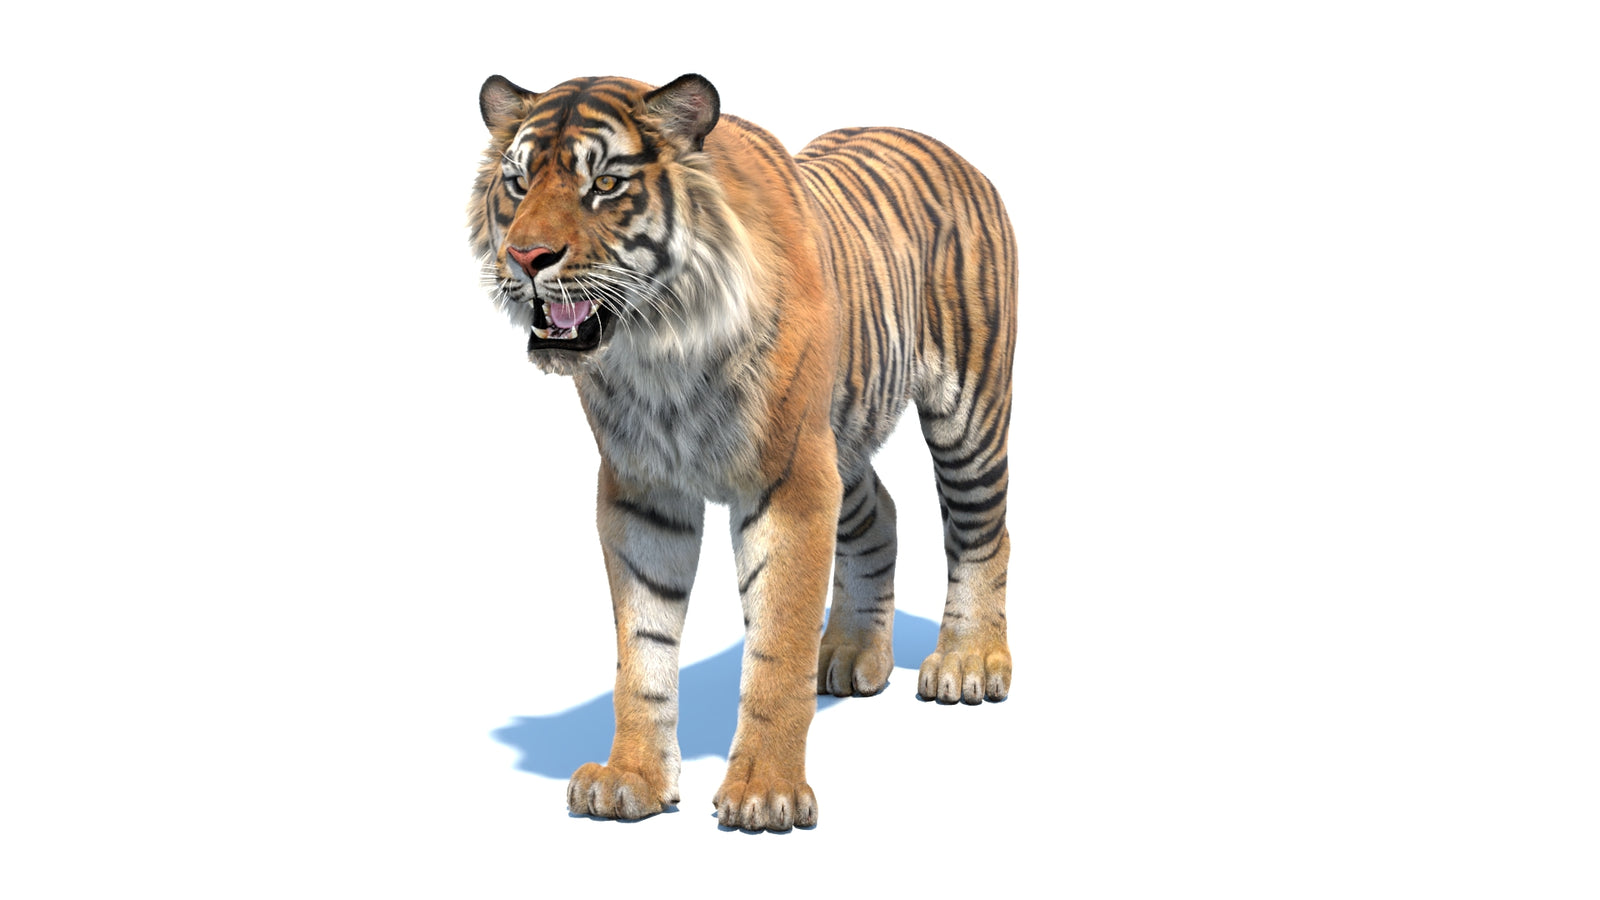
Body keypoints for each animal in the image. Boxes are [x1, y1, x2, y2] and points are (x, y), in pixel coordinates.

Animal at [468, 73, 1016, 831]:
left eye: (604, 184)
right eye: (518, 183)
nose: (525, 257)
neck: (656, 348)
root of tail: (945, 147)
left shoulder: (790, 481)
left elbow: (776, 647)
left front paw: (766, 792)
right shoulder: (642, 492)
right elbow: (642, 651)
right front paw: (631, 778)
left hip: (966, 410)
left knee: (981, 529)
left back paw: (967, 663)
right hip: (841, 437)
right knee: (882, 510)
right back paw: (852, 654)